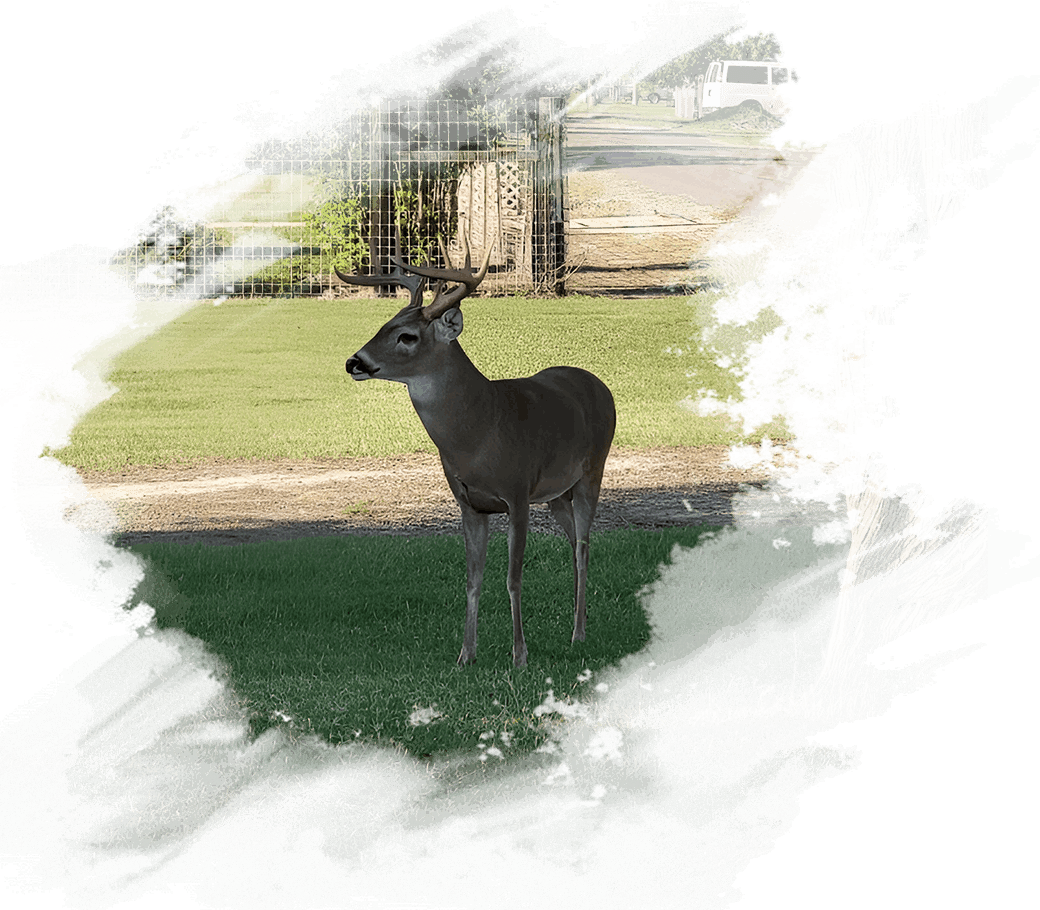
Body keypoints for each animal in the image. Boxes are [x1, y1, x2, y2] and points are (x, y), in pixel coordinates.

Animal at [336, 230, 611, 665]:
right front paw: (466, 654)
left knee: (584, 548)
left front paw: (519, 655)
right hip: (556, 494)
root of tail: (601, 386)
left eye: (407, 336)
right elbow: (472, 579)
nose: (354, 362)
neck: (479, 432)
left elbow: (513, 578)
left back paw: (579, 634)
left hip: (591, 472)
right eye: (384, 325)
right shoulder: (469, 503)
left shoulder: (517, 493)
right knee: (573, 546)